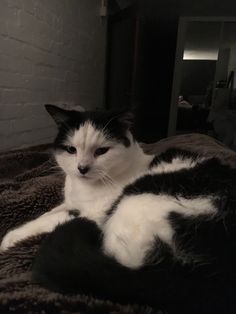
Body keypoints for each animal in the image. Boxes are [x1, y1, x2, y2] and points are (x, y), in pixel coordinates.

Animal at [1, 106, 236, 314]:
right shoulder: (70, 203)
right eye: (71, 150)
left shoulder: (93, 213)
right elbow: (48, 213)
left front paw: (9, 240)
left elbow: (52, 219)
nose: (82, 168)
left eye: (101, 151)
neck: (83, 187)